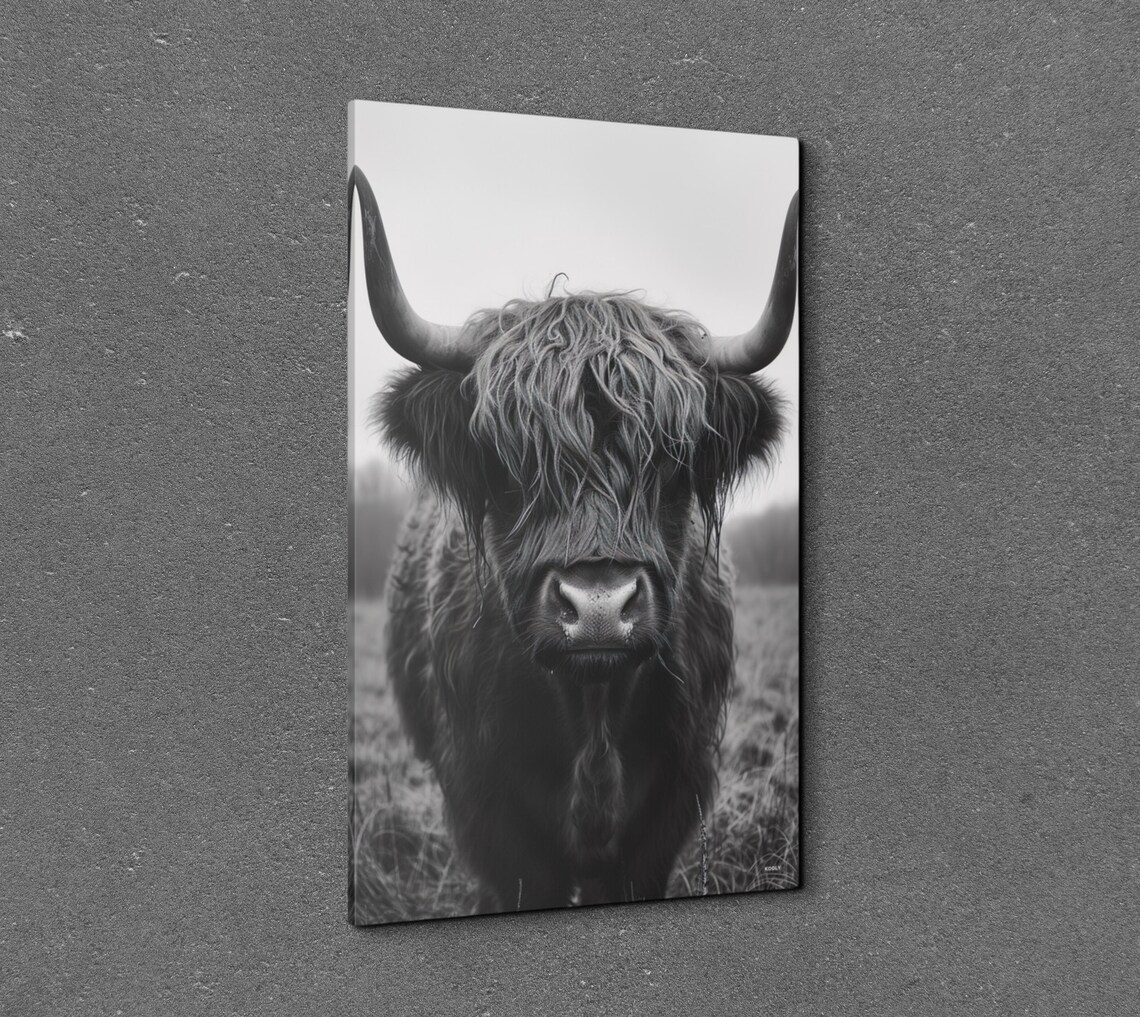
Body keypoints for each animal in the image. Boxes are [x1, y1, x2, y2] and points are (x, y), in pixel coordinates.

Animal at [349, 165, 798, 912]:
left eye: (671, 459)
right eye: (509, 462)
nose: (598, 608)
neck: (593, 715)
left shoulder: (669, 807)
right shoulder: (489, 810)